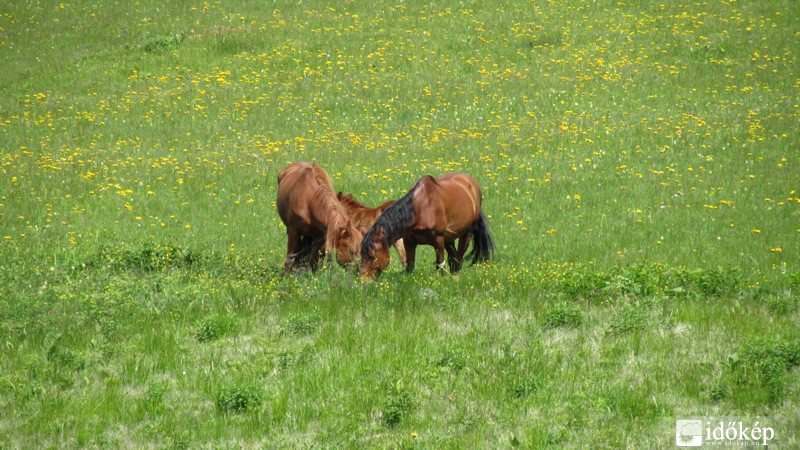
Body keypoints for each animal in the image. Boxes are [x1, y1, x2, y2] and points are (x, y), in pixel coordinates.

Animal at [358, 171, 494, 278]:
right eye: (361, 254)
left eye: (372, 256)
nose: (362, 281)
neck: (421, 208)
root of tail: (471, 183)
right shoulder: (409, 241)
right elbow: (409, 265)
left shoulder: (438, 240)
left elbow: (440, 265)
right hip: (449, 238)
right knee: (453, 258)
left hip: (465, 234)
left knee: (458, 259)